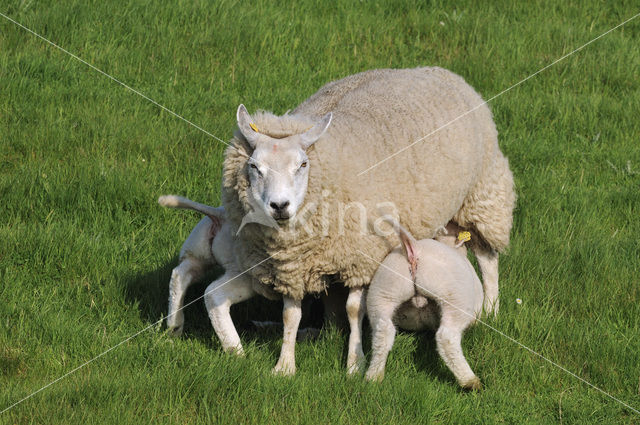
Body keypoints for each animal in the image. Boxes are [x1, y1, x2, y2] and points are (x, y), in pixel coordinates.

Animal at [362, 220, 482, 390]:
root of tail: (413, 249)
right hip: (454, 299)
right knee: (446, 337)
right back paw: (469, 381)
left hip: (383, 293)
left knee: (382, 331)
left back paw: (373, 377)